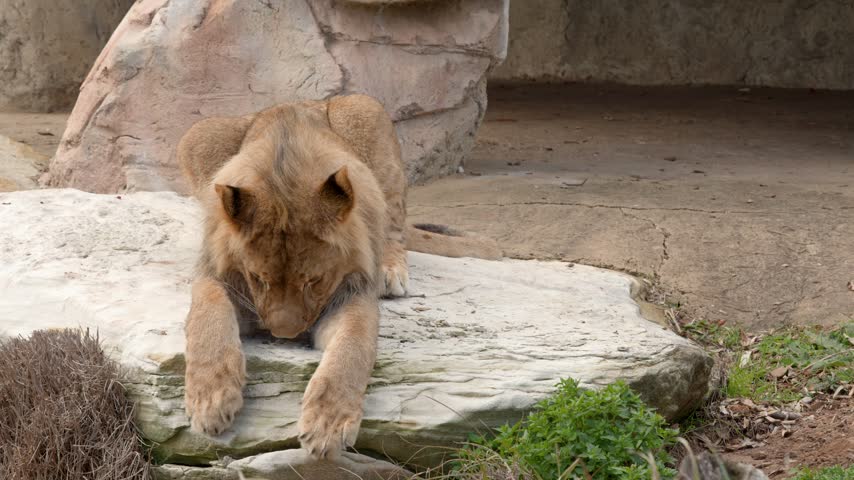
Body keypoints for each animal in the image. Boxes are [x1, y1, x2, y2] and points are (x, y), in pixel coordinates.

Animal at [177, 94, 500, 459]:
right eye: (259, 279)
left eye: (314, 282)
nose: (284, 336)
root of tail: (305, 102)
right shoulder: (214, 274)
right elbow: (208, 318)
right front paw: (210, 398)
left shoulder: (353, 293)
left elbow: (352, 348)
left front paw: (327, 423)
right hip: (198, 135)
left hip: (365, 113)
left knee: (395, 224)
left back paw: (390, 268)